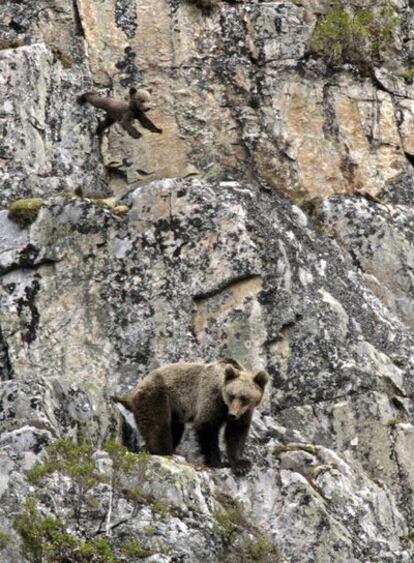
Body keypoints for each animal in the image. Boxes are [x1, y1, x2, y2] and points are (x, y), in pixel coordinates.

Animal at [113, 362, 268, 476]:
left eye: (244, 398)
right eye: (232, 395)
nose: (232, 415)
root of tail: (137, 387)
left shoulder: (245, 413)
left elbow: (237, 433)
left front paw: (241, 464)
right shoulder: (211, 399)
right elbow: (206, 427)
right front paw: (218, 462)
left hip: (174, 410)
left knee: (175, 429)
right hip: (157, 396)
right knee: (158, 426)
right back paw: (163, 451)